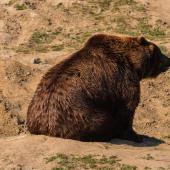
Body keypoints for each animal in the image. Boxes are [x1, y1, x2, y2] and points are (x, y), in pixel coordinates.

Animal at [26, 33, 170, 142]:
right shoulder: (122, 78)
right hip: (80, 112)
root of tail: (44, 126)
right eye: (160, 52)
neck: (133, 63)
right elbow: (128, 107)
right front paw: (136, 135)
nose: (168, 61)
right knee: (103, 121)